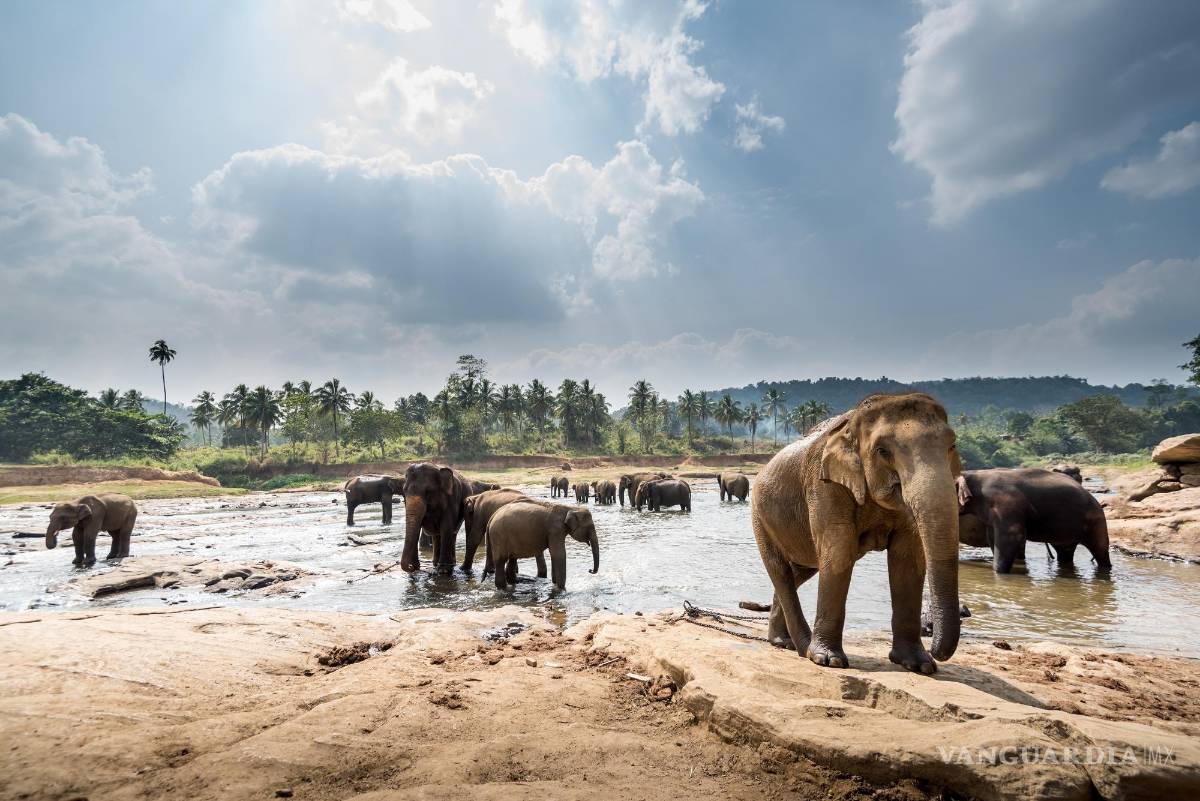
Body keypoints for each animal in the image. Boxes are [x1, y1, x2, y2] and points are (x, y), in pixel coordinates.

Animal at [751, 393, 963, 674]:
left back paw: (783, 642)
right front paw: (828, 660)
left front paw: (920, 665)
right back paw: (803, 647)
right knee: (781, 570)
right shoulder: (824, 485)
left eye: (952, 445)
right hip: (760, 517)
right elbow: (840, 553)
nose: (936, 650)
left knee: (802, 570)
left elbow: (907, 561)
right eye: (883, 451)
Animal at [956, 468, 1111, 574]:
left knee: (1100, 551)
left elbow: (1011, 535)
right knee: (1065, 552)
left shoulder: (1006, 505)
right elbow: (992, 537)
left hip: (1096, 521)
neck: (973, 475)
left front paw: (999, 572)